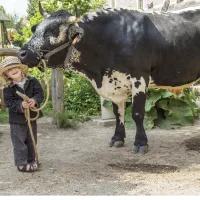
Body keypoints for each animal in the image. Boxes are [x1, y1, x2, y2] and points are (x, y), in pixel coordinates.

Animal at [18, 1, 200, 153]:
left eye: (53, 31)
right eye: (35, 29)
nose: (22, 53)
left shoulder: (140, 77)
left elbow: (137, 113)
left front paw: (141, 143)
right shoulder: (114, 84)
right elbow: (118, 113)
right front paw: (117, 138)